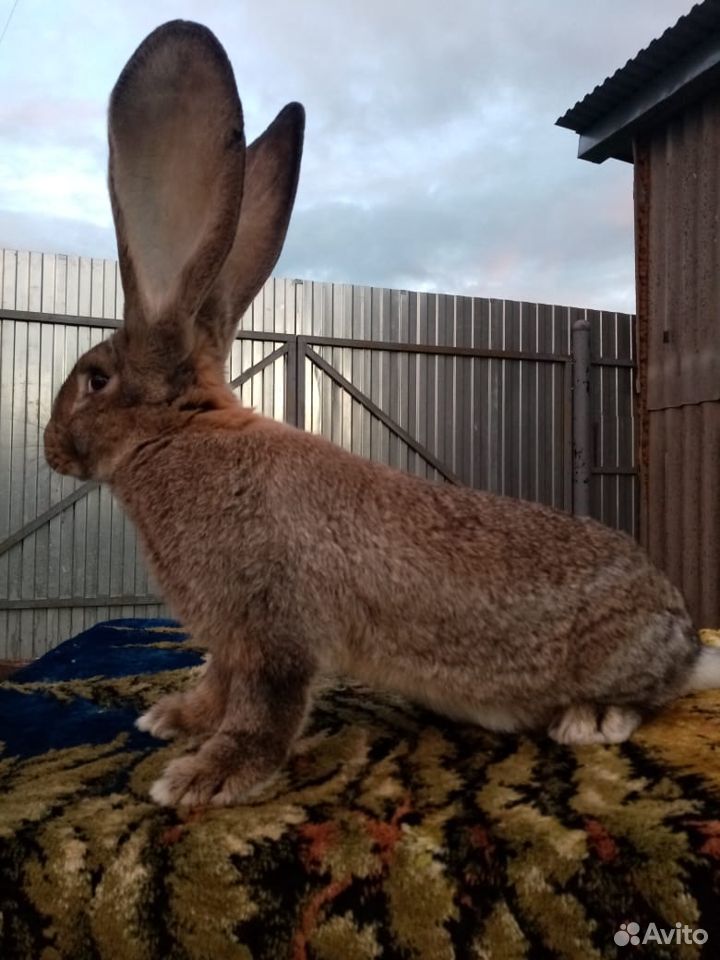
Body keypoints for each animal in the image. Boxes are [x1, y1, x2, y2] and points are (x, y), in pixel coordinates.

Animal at [44, 19, 720, 809]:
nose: (51, 447)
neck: (181, 435)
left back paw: (592, 720)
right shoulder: (231, 640)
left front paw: (204, 778)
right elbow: (217, 684)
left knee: (652, 696)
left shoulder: (273, 626)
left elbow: (265, 706)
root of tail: (683, 639)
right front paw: (173, 720)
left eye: (95, 380)